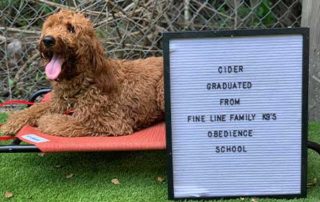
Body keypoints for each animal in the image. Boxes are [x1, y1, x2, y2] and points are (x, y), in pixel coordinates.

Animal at [0, 9, 164, 137]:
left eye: (71, 28)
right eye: (49, 26)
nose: (47, 40)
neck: (81, 84)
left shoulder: (110, 121)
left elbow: (56, 121)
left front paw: (45, 121)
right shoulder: (58, 104)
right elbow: (34, 109)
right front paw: (10, 124)